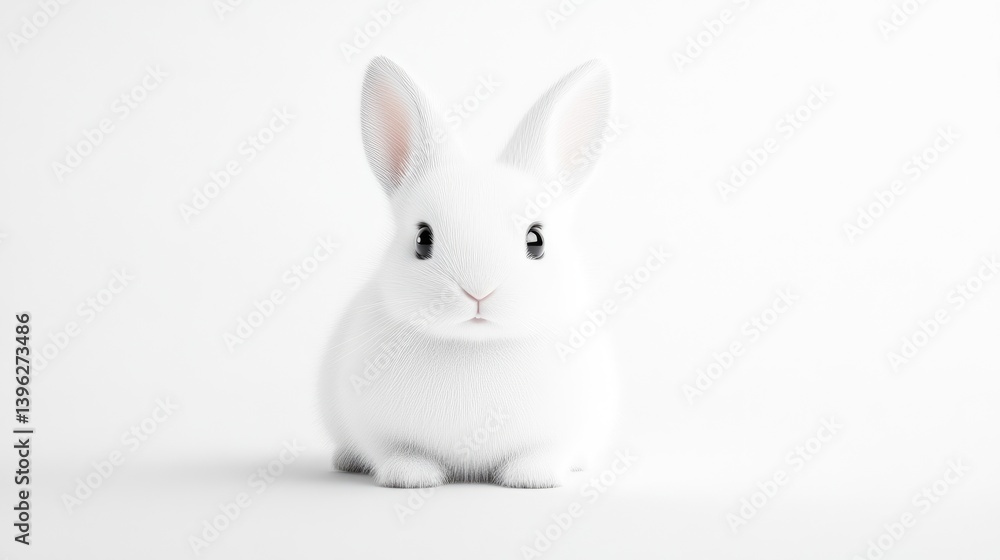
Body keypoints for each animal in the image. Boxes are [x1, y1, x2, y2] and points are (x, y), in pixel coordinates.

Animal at [319, 56, 619, 488]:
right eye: (422, 239)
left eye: (536, 239)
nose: (478, 291)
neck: (475, 346)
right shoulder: (373, 429)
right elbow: (395, 451)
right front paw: (411, 476)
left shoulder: (567, 427)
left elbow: (545, 452)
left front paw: (532, 477)